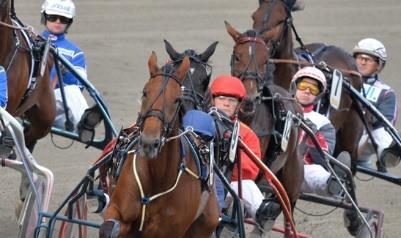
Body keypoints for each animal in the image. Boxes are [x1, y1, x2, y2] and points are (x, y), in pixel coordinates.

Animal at [99, 51, 219, 238]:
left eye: (176, 99)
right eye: (145, 93)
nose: (149, 142)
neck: (157, 176)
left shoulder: (168, 230)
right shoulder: (119, 212)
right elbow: (109, 228)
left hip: (205, 223)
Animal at [253, 0, 366, 235]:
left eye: (281, 20)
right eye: (255, 16)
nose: (260, 47)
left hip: (350, 133)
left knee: (349, 167)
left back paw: (354, 217)